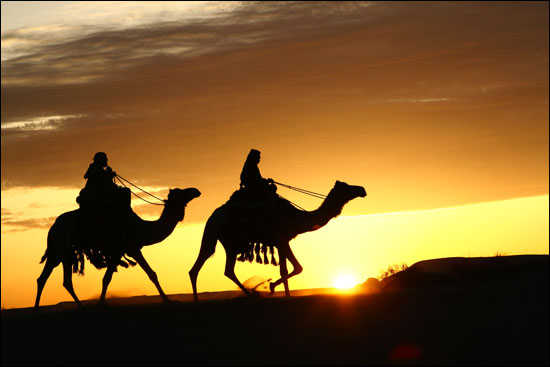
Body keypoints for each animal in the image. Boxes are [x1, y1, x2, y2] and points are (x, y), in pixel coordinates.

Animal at [33, 188, 201, 312]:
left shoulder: (117, 252)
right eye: (182, 192)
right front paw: (168, 300)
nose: (196, 190)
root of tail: (53, 228)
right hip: (65, 248)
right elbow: (152, 274)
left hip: (56, 252)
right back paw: (81, 307)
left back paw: (36, 309)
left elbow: (107, 278)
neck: (142, 228)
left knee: (42, 278)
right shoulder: (132, 248)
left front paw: (101, 303)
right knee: (66, 280)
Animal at [190, 181, 366, 302]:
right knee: (202, 264)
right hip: (218, 235)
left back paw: (251, 294)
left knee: (227, 270)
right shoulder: (282, 240)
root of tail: (212, 217)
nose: (362, 189)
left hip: (230, 243)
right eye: (346, 187)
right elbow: (294, 268)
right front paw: (273, 287)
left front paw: (278, 290)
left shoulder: (281, 242)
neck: (297, 218)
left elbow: (288, 269)